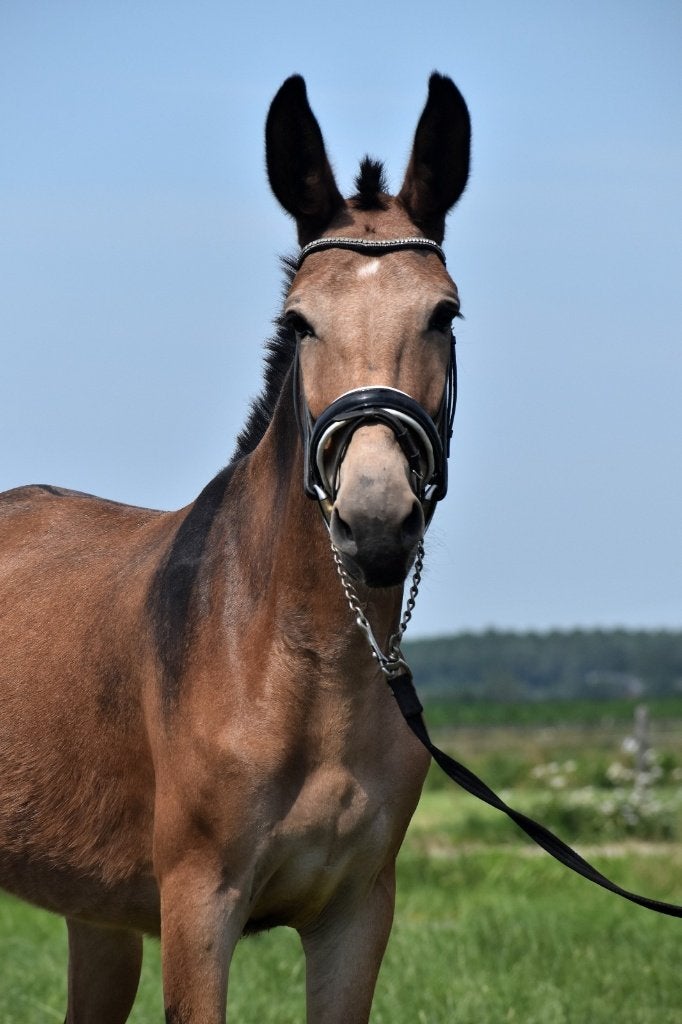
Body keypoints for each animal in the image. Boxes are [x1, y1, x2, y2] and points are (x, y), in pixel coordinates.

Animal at [0, 72, 470, 1023]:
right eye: (301, 323)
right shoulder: (197, 909)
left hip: (93, 916)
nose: (375, 520)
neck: (299, 664)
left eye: (445, 314)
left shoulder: (355, 916)